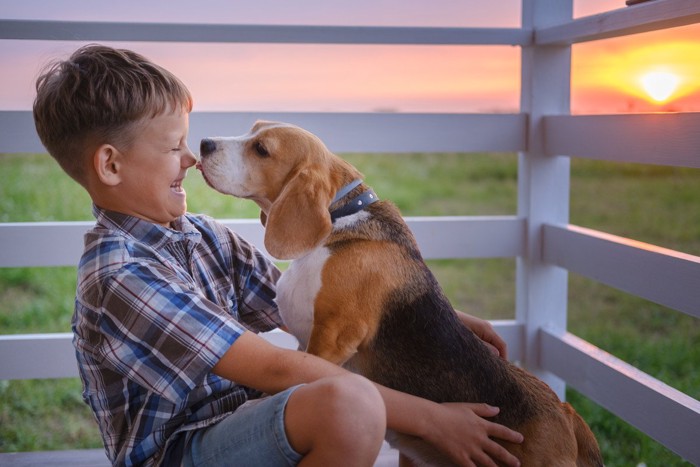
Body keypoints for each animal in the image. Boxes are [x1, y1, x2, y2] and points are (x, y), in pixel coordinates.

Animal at [197, 121, 600, 467]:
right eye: (252, 130)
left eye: (261, 149)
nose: (203, 143)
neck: (340, 217)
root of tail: (568, 416)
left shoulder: (332, 337)